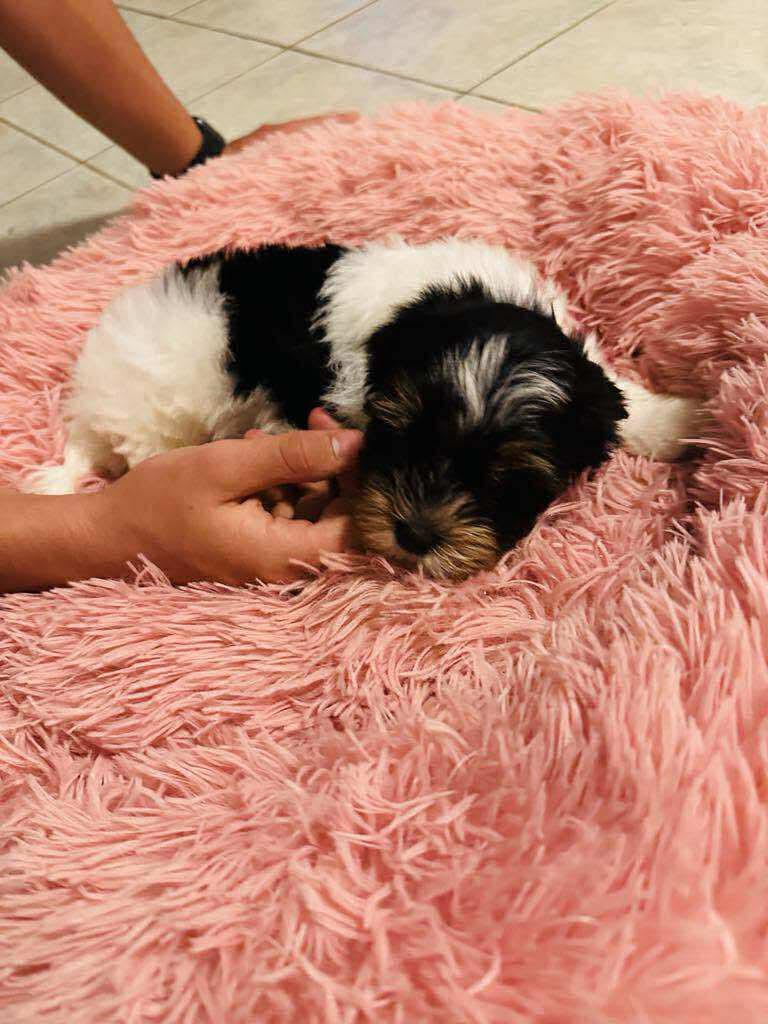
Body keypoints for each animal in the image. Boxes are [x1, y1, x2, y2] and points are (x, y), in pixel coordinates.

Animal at [26, 237, 701, 579]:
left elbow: (618, 399)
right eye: (399, 436)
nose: (416, 535)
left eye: (509, 479)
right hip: (156, 416)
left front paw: (678, 420)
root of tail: (91, 391)